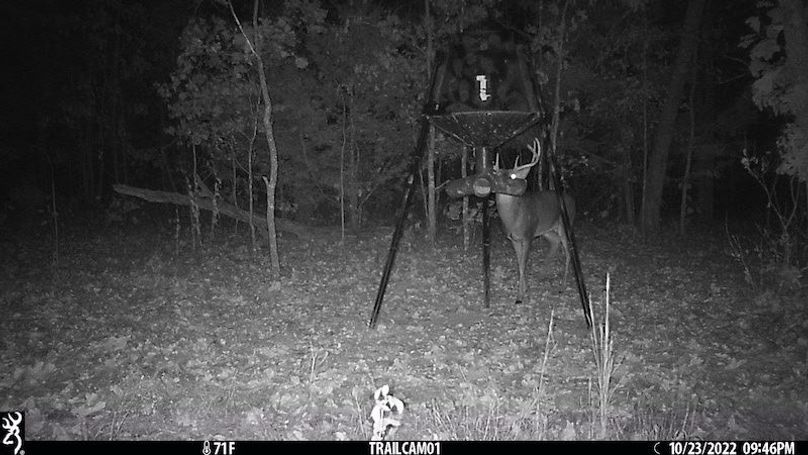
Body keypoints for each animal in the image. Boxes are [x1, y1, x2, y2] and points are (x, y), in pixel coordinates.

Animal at [494, 138, 575, 304]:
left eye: (512, 176)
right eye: (497, 173)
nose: (496, 183)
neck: (514, 219)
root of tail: (573, 201)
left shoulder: (528, 234)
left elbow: (523, 264)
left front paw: (520, 297)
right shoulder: (513, 239)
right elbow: (519, 264)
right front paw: (526, 290)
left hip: (566, 224)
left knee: (568, 252)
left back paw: (562, 286)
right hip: (547, 230)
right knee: (555, 243)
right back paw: (544, 275)